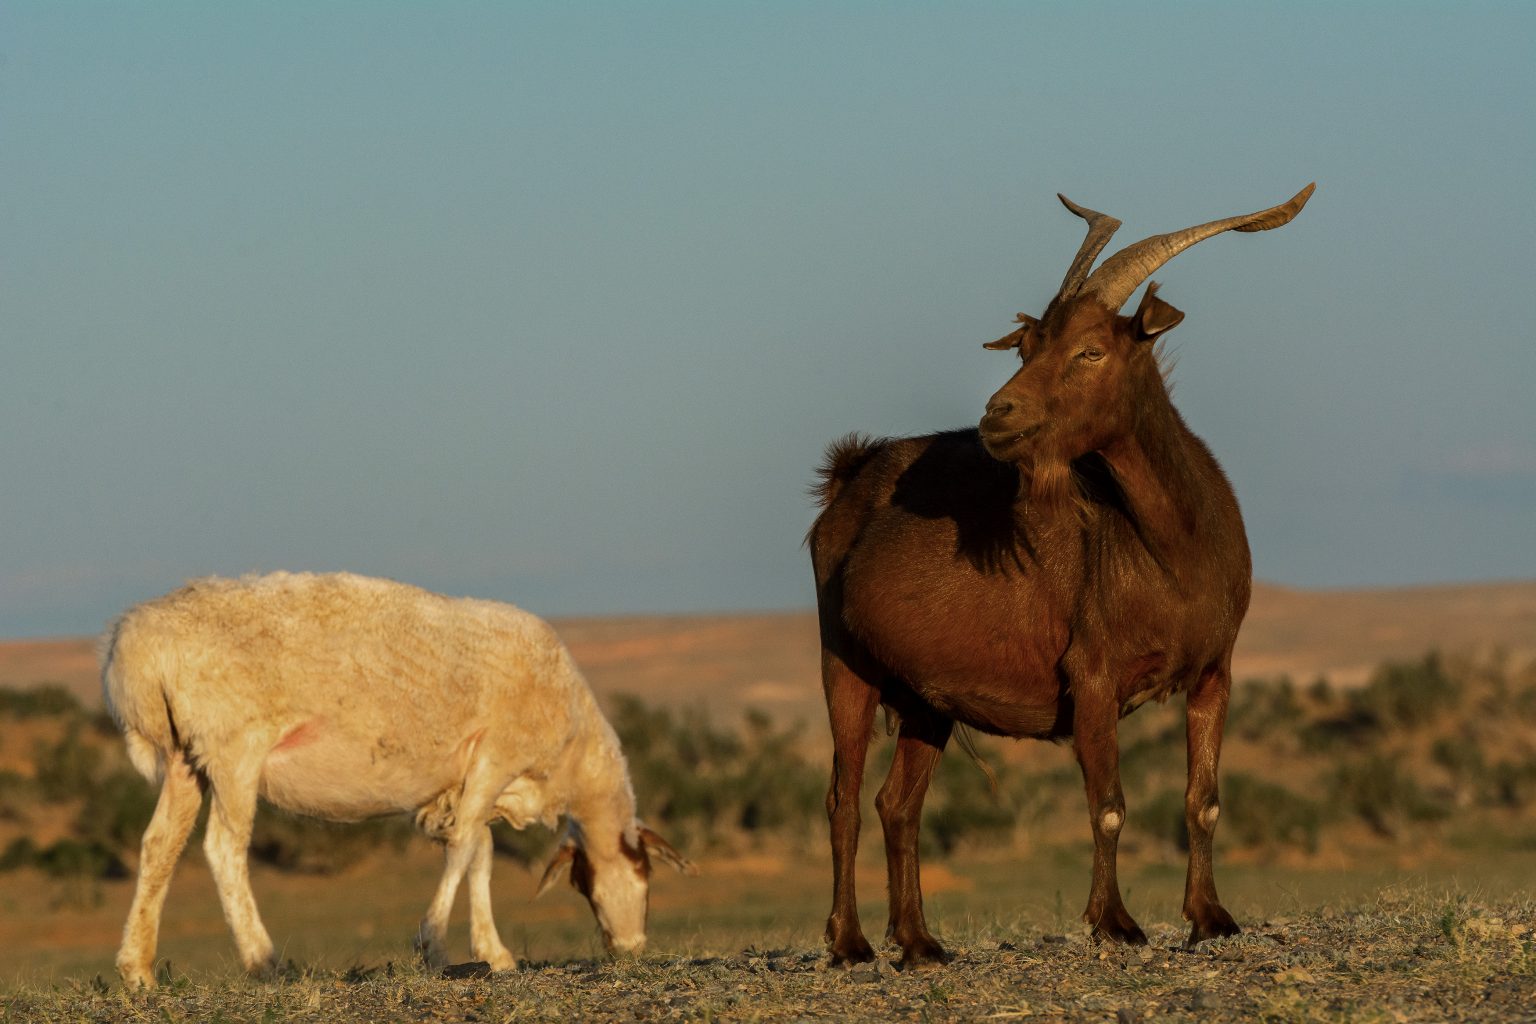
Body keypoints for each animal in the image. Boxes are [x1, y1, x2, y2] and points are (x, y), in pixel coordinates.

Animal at [100, 574, 691, 988]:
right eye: (645, 875)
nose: (630, 950)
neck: (573, 757)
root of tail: (135, 646)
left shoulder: (463, 783)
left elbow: (480, 852)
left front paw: (490, 952)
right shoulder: (496, 758)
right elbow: (464, 848)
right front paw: (434, 946)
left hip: (186, 757)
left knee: (159, 847)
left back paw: (138, 970)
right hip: (234, 747)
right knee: (224, 848)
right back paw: (264, 962)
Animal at [811, 184, 1314, 970]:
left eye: (1090, 350)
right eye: (1027, 347)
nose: (998, 415)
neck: (1173, 552)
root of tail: (848, 478)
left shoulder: (1215, 672)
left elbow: (1203, 798)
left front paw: (1210, 916)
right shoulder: (1094, 676)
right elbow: (1108, 804)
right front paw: (1116, 922)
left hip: (925, 699)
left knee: (898, 804)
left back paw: (920, 942)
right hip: (845, 664)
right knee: (843, 799)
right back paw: (852, 943)